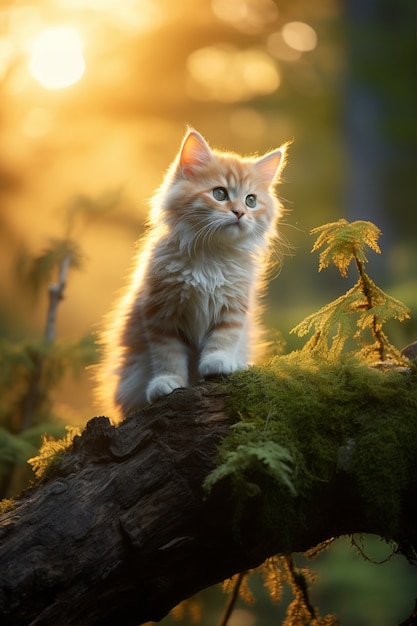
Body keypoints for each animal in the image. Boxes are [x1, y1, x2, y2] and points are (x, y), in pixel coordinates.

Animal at [96, 128, 286, 420]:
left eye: (251, 200)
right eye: (219, 194)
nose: (240, 212)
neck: (210, 258)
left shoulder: (234, 304)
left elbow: (224, 336)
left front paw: (219, 362)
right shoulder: (160, 310)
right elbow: (167, 354)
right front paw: (167, 382)